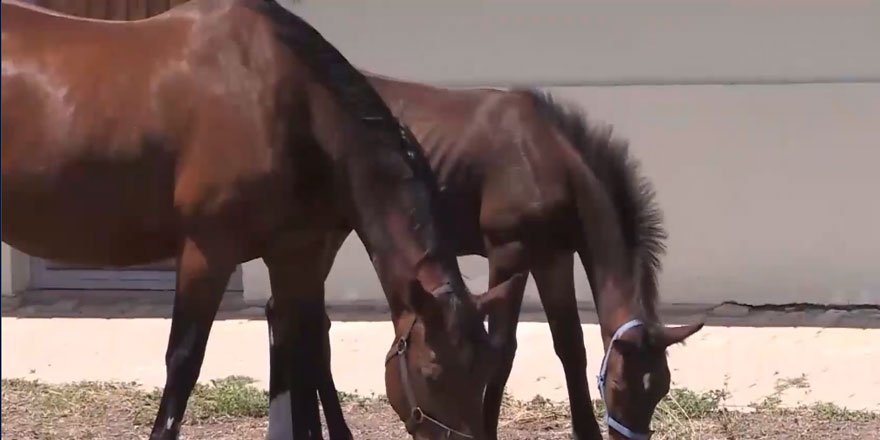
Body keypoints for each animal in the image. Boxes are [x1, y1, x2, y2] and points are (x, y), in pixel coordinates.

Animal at [0, 1, 516, 438]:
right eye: (433, 372)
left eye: (484, 371)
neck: (286, 105)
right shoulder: (208, 253)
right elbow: (183, 362)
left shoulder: (296, 254)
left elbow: (303, 351)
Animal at [264, 74, 704, 438]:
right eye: (618, 384)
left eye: (661, 388)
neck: (545, 159)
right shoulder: (508, 253)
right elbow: (504, 349)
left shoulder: (553, 258)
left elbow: (570, 346)